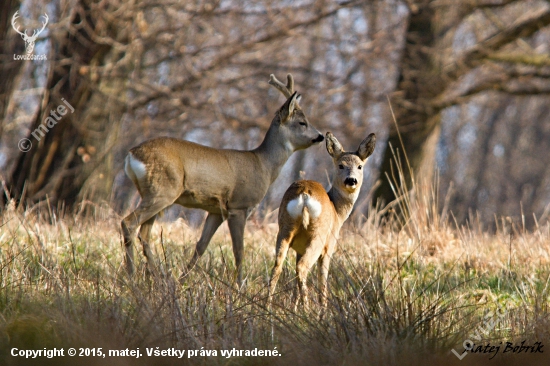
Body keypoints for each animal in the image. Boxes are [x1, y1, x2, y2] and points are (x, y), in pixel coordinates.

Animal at [123, 73, 326, 284]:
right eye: (302, 122)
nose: (320, 136)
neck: (263, 164)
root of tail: (132, 154)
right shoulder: (239, 206)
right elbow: (239, 251)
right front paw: (239, 285)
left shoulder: (216, 210)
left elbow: (201, 245)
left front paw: (183, 280)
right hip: (162, 191)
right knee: (129, 223)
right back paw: (132, 277)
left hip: (155, 193)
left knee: (144, 234)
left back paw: (158, 278)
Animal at [268, 130, 376, 308]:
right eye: (341, 165)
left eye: (360, 166)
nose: (351, 180)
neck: (337, 211)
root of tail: (304, 195)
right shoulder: (329, 246)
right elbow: (323, 279)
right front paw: (323, 308)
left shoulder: (299, 248)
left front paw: (294, 306)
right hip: (318, 234)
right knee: (303, 267)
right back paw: (307, 308)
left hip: (285, 228)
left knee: (278, 265)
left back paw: (268, 304)